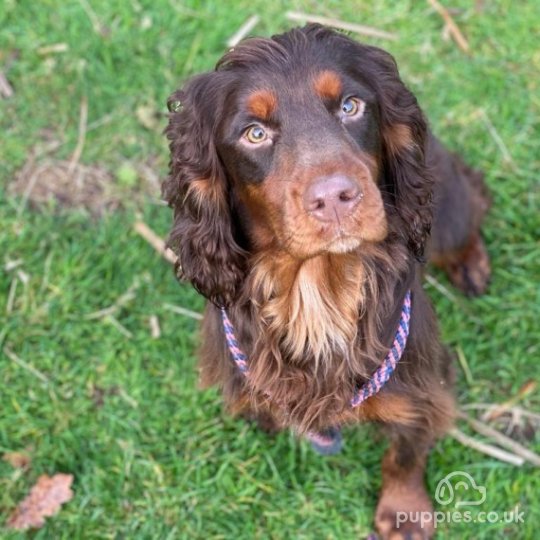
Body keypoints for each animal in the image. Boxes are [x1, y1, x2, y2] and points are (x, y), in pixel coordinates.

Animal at [162, 23, 492, 536]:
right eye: (254, 133)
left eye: (350, 106)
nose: (336, 198)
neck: (320, 286)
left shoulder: (422, 387)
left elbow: (406, 451)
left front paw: (404, 512)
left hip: (446, 208)